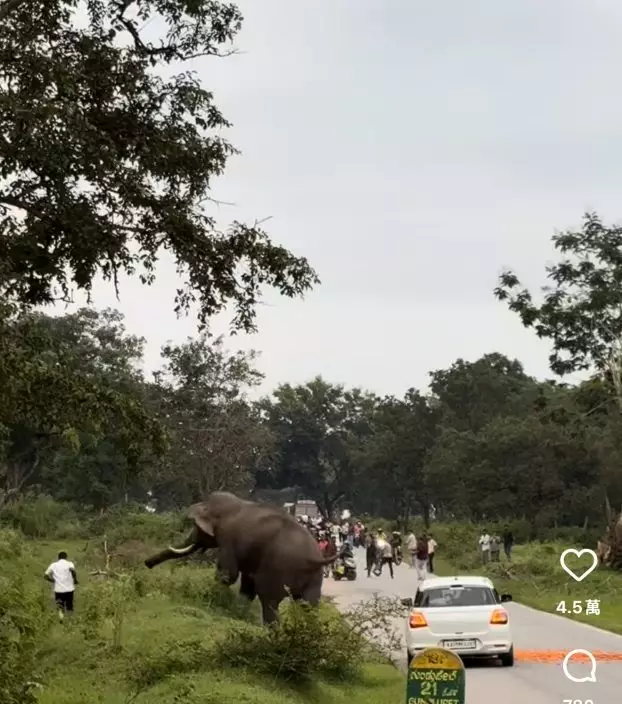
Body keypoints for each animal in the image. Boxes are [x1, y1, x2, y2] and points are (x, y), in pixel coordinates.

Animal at [144, 492, 336, 624]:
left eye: (196, 527)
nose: (146, 564)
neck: (232, 503)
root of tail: (315, 559)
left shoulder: (228, 538)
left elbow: (228, 574)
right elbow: (246, 585)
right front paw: (238, 612)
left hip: (279, 568)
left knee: (269, 598)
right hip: (314, 578)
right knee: (309, 605)